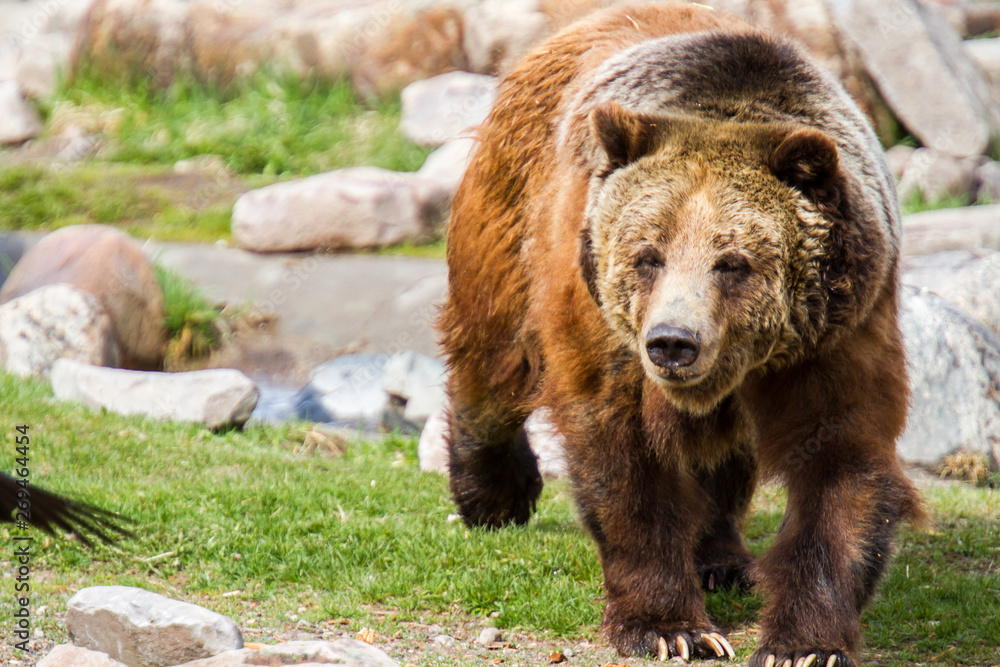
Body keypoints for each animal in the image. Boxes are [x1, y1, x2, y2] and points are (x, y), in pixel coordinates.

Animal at [437, 3, 924, 666]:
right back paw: (493, 494)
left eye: (733, 262)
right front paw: (669, 627)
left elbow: (841, 459)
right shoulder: (603, 326)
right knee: (493, 356)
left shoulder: (838, 332)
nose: (673, 342)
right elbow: (624, 456)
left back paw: (721, 557)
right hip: (514, 212)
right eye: (648, 254)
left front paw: (804, 642)